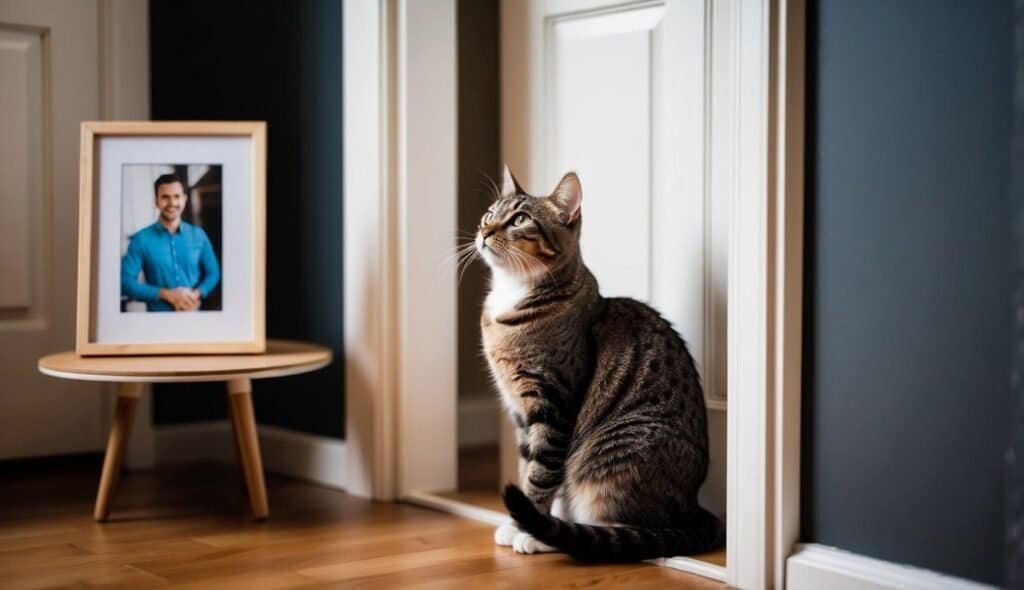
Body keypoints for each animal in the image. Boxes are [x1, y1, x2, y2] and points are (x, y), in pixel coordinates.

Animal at [477, 166, 724, 561]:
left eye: (518, 219)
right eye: (489, 213)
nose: (484, 232)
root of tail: (693, 506)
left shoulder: (553, 402)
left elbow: (540, 474)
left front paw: (529, 527)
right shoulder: (519, 412)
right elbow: (528, 463)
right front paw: (522, 522)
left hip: (612, 455)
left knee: (624, 529)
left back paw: (556, 536)